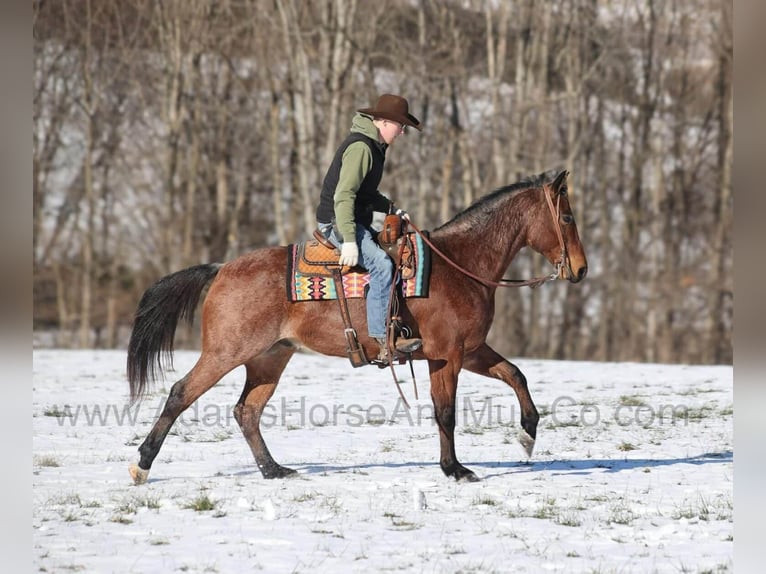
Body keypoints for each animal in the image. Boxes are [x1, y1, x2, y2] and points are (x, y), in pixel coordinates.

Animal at [126, 168, 587, 484]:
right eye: (566, 218)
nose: (581, 270)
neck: (460, 264)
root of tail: (221, 268)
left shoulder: (470, 350)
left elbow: (515, 374)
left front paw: (527, 435)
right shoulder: (447, 354)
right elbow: (446, 412)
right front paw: (454, 469)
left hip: (269, 358)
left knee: (247, 411)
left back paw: (274, 470)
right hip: (226, 352)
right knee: (180, 393)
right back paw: (142, 464)